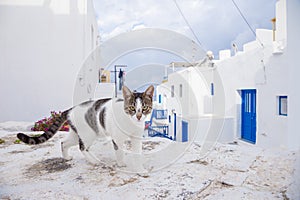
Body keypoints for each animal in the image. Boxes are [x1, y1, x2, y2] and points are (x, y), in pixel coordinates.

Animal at [17, 85, 155, 169]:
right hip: (88, 134)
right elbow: (119, 151)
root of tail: (69, 110)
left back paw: (67, 157)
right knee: (82, 147)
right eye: (132, 108)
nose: (138, 116)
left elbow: (137, 153)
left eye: (144, 108)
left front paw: (140, 169)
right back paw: (94, 161)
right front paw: (121, 163)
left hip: (76, 133)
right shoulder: (117, 138)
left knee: (64, 143)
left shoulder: (136, 138)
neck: (131, 122)